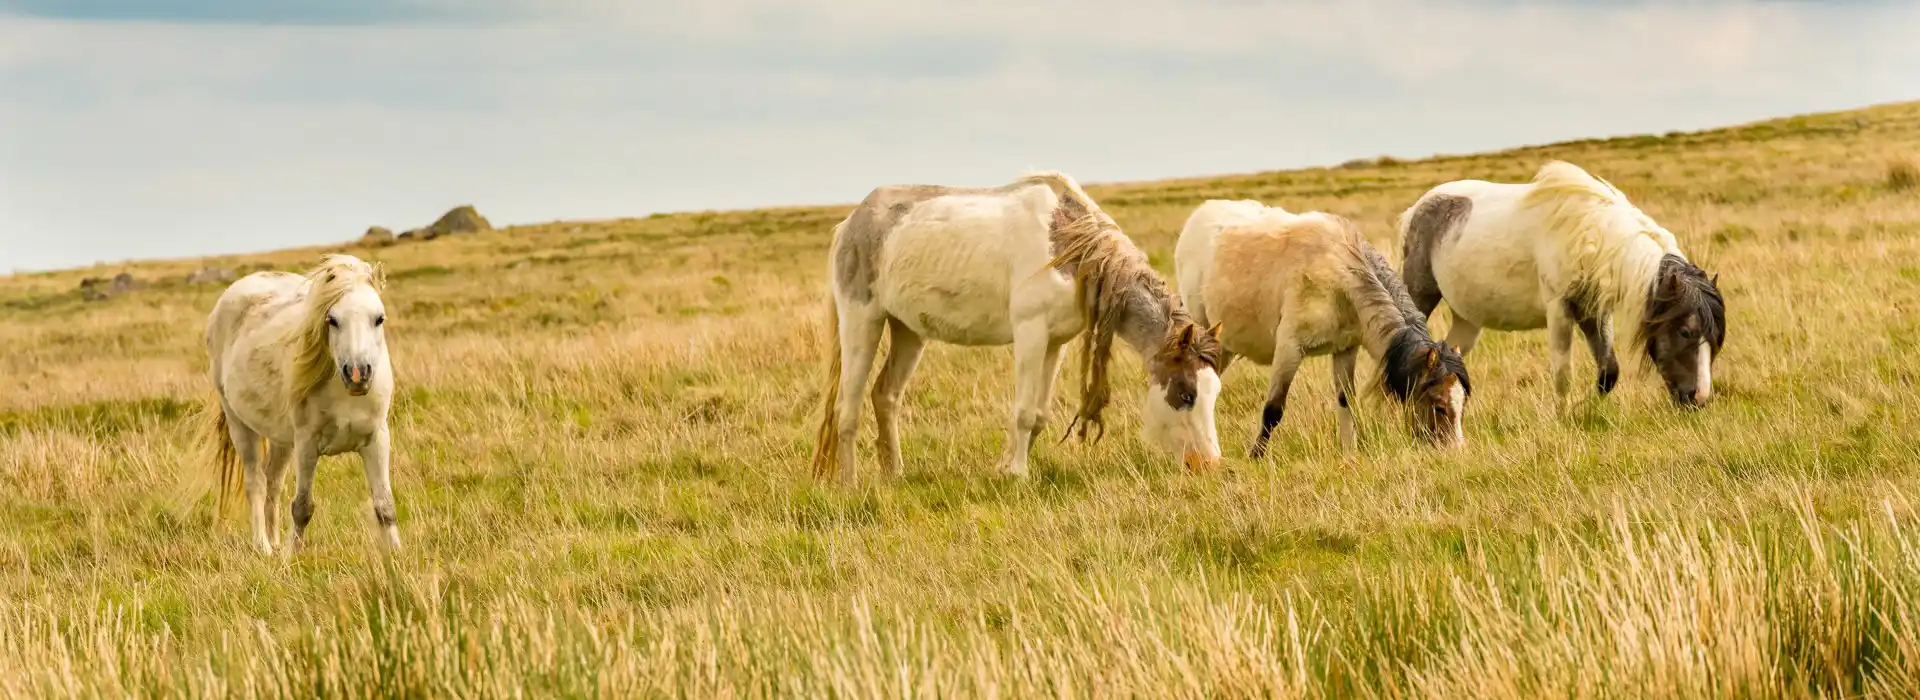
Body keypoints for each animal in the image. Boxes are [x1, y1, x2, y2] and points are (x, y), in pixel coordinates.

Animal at [201, 253, 397, 552]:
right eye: (332, 320)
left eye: (379, 318)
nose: (357, 373)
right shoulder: (307, 444)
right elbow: (302, 508)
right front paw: (292, 557)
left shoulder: (376, 440)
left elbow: (385, 506)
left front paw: (398, 555)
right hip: (240, 425)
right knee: (256, 482)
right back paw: (263, 546)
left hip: (281, 439)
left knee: (273, 481)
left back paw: (274, 542)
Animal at [814, 168, 1228, 479]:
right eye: (1186, 394)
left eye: (1214, 393)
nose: (1210, 465)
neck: (1072, 248)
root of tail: (851, 223)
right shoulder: (1031, 333)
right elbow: (1025, 412)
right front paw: (1017, 474)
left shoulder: (1055, 344)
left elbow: (1040, 415)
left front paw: (1006, 468)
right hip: (861, 322)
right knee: (847, 409)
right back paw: (850, 484)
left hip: (908, 331)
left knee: (885, 396)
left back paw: (894, 474)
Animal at [1167, 199, 1466, 454]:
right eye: (1439, 406)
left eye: (1462, 405)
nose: (1454, 452)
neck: (1341, 277)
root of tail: (1198, 216)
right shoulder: (1289, 349)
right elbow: (1273, 410)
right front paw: (1256, 457)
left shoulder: (1345, 350)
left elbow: (1345, 401)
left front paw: (1348, 452)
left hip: (1224, 345)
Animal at [1397, 160, 1728, 406]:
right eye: (1685, 331)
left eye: (1716, 340)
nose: (1699, 398)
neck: (1589, 232)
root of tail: (1416, 209)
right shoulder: (1559, 310)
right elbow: (1562, 374)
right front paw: (1563, 417)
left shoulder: (1595, 311)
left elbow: (1609, 371)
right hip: (1420, 296)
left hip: (1466, 318)